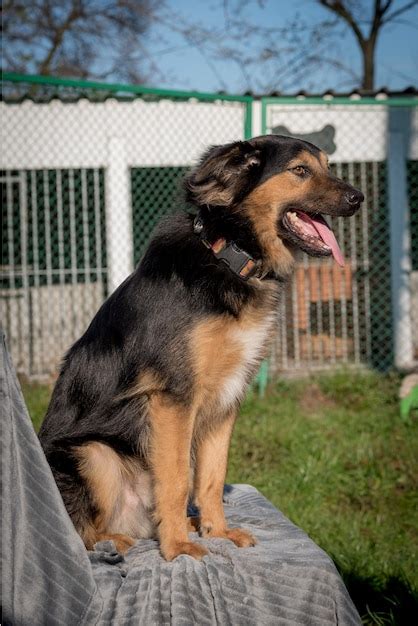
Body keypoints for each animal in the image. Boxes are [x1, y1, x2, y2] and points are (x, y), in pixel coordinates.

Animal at [40, 134, 366, 560]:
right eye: (300, 170)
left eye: (328, 166)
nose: (359, 198)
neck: (230, 256)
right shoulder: (174, 396)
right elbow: (178, 477)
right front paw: (178, 546)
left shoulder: (225, 399)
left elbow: (211, 475)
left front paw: (217, 532)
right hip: (95, 453)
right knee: (78, 533)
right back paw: (119, 541)